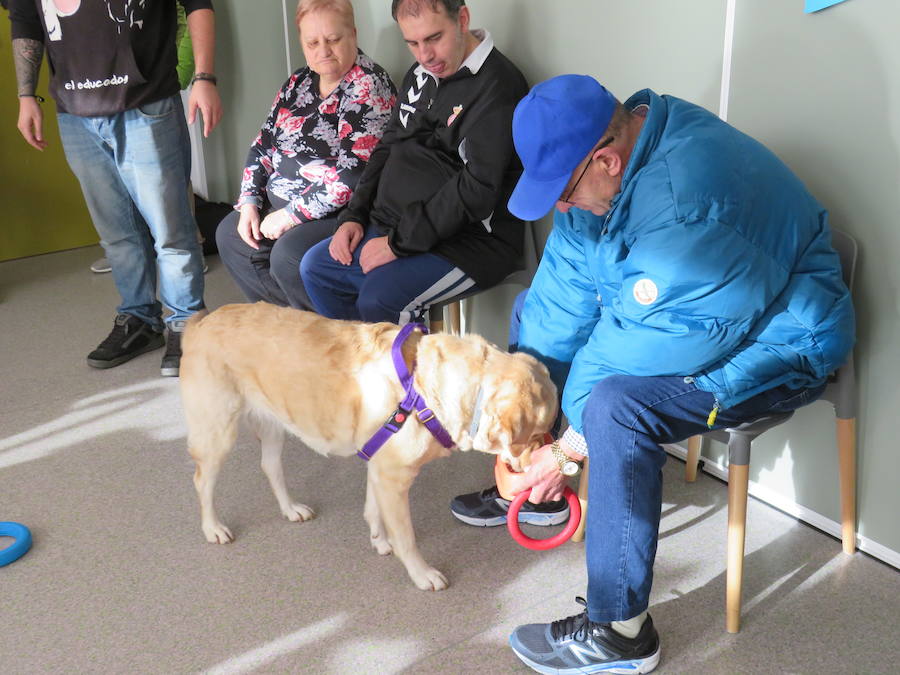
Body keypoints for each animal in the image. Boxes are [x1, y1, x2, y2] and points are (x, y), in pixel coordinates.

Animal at [178, 304, 556, 592]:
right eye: (537, 433)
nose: (551, 466)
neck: (424, 388)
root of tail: (200, 322)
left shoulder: (380, 465)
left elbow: (373, 509)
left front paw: (379, 539)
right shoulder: (393, 476)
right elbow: (406, 537)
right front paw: (421, 573)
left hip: (274, 424)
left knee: (269, 467)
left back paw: (290, 509)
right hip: (217, 431)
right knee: (201, 481)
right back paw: (213, 528)